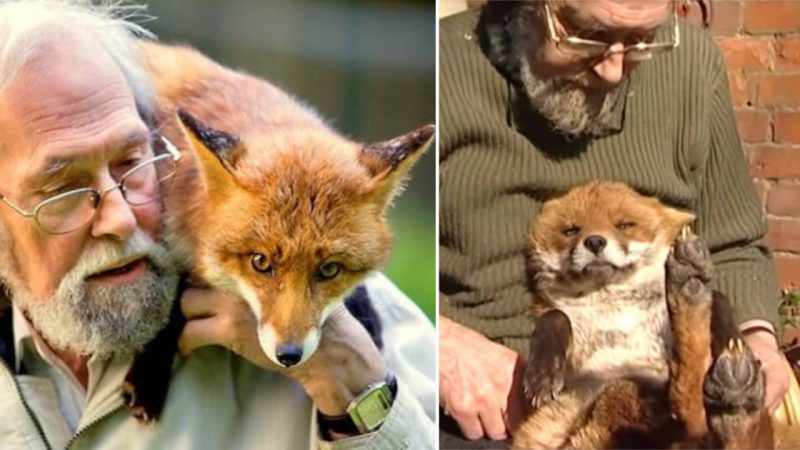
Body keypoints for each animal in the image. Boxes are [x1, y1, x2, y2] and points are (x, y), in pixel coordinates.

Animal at [512, 182, 792, 450]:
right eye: (571, 231)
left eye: (624, 225)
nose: (594, 241)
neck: (617, 306)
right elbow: (555, 317)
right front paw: (543, 370)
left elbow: (720, 300)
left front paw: (731, 336)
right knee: (690, 411)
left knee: (694, 409)